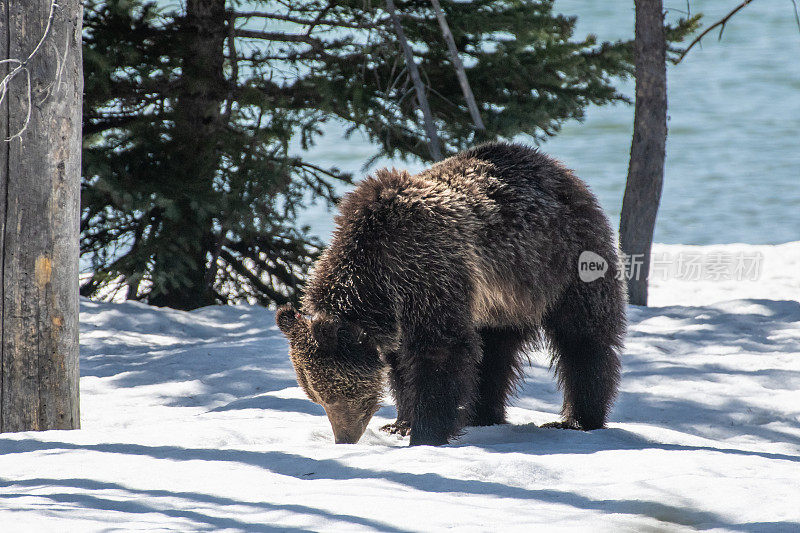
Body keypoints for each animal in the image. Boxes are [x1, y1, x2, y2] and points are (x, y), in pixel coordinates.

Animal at [276, 141, 624, 444]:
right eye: (316, 397)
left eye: (336, 394)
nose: (343, 439)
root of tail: (559, 168)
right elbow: (401, 366)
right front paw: (401, 423)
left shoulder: (429, 270)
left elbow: (441, 350)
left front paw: (425, 433)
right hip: (501, 301)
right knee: (494, 350)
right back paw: (482, 415)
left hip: (563, 262)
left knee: (582, 337)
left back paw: (577, 419)